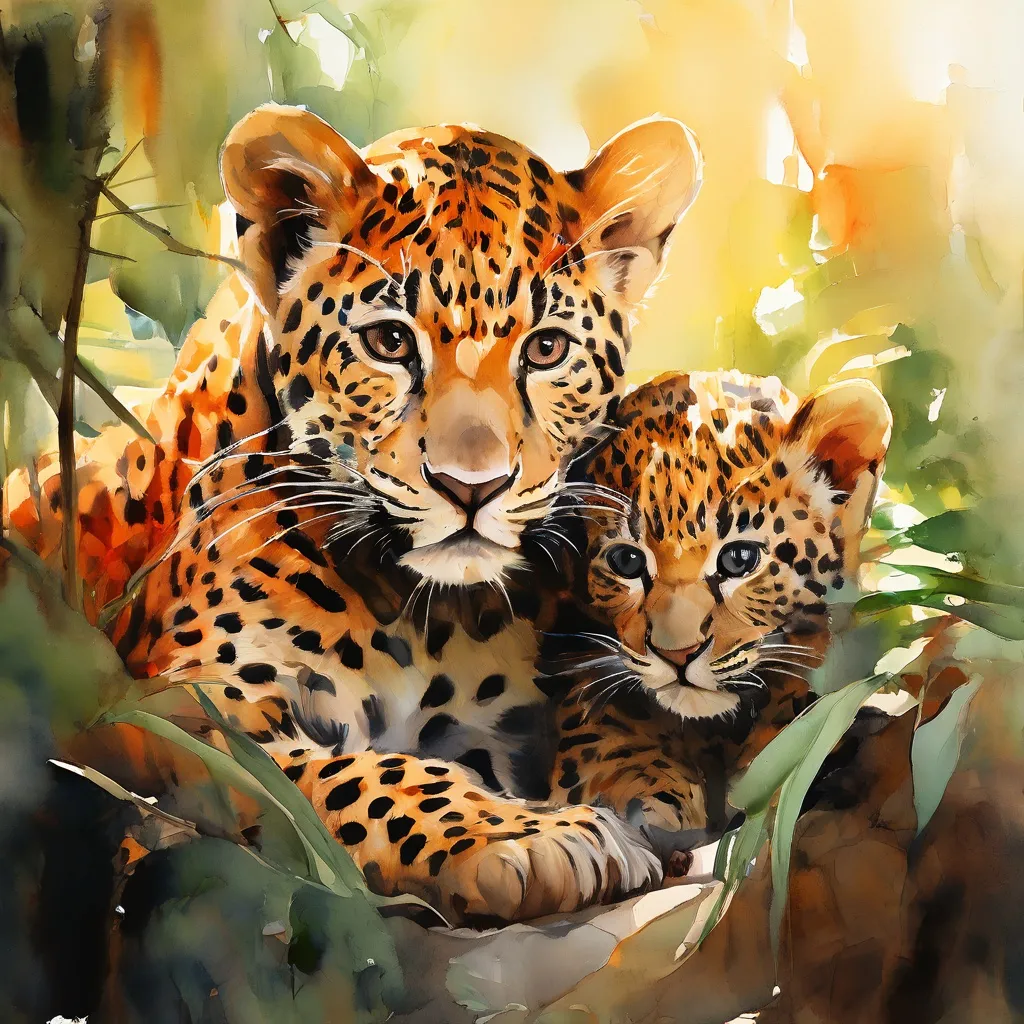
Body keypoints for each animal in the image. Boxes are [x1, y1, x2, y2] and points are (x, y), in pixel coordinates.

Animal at [4, 104, 703, 925]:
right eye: (390, 341)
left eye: (547, 350)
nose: (472, 488)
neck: (427, 617)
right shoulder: (185, 711)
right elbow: (365, 778)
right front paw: (537, 838)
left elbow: (605, 716)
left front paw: (651, 787)